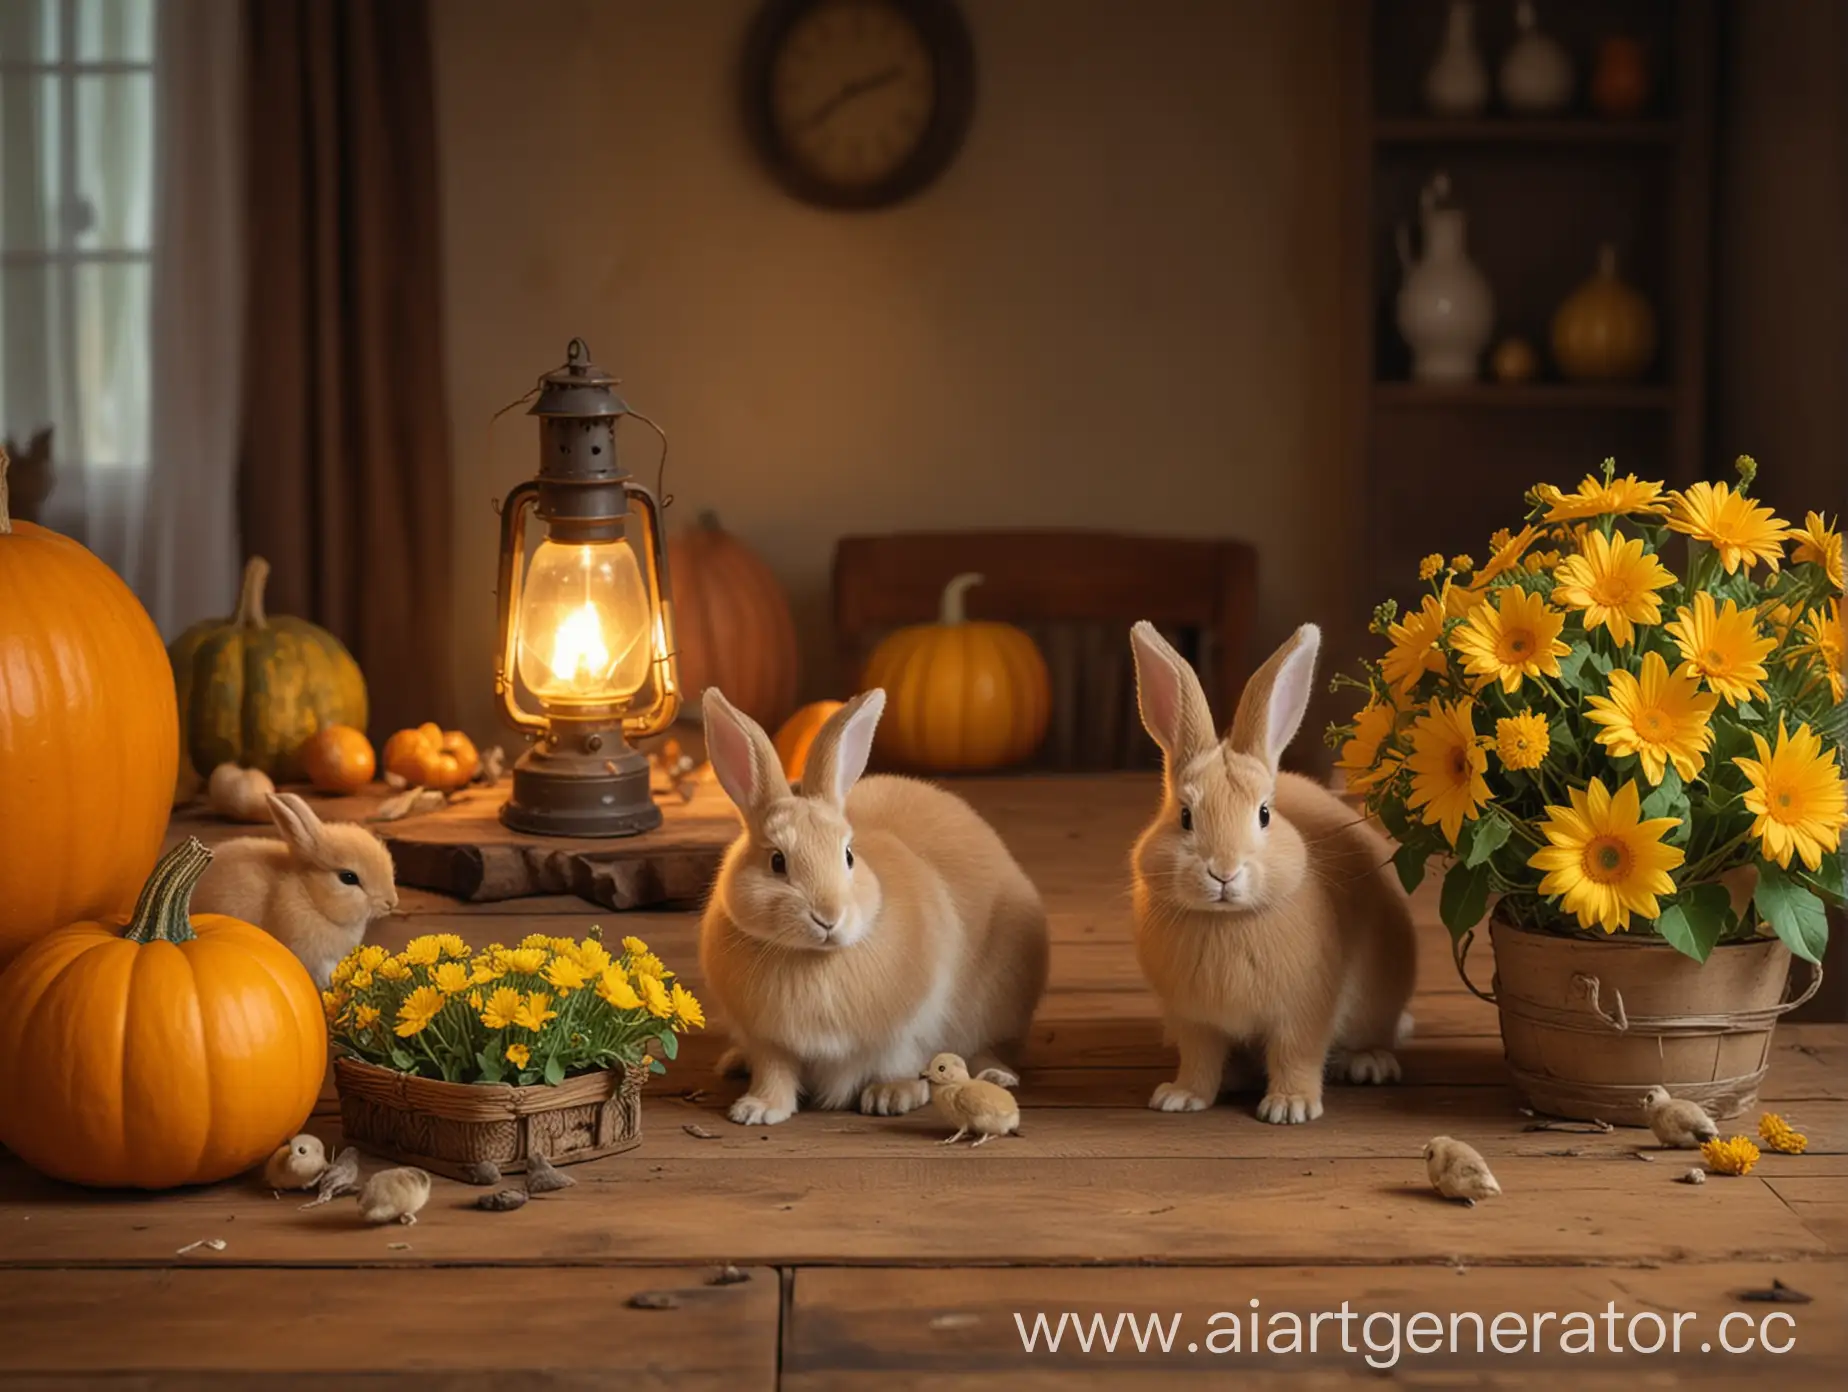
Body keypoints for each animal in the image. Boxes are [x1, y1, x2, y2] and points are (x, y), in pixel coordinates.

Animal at [694, 691, 1049, 1123]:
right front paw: (757, 1110)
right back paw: (734, 1063)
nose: (828, 918)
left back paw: (997, 1075)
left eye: (848, 855)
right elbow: (773, 1071)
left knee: (989, 1047)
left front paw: (890, 1096)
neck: (814, 959)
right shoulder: (767, 1040)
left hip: (999, 1004)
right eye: (777, 862)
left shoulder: (904, 1030)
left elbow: (897, 1060)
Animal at [1123, 624, 1411, 1123]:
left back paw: (1369, 1064)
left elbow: (1297, 1055)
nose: (1224, 872)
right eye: (1184, 816)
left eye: (1263, 814)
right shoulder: (1193, 1020)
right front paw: (1181, 1097)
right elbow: (1199, 1061)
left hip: (1378, 1005)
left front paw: (1290, 1107)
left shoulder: (1306, 1011)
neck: (1226, 922)